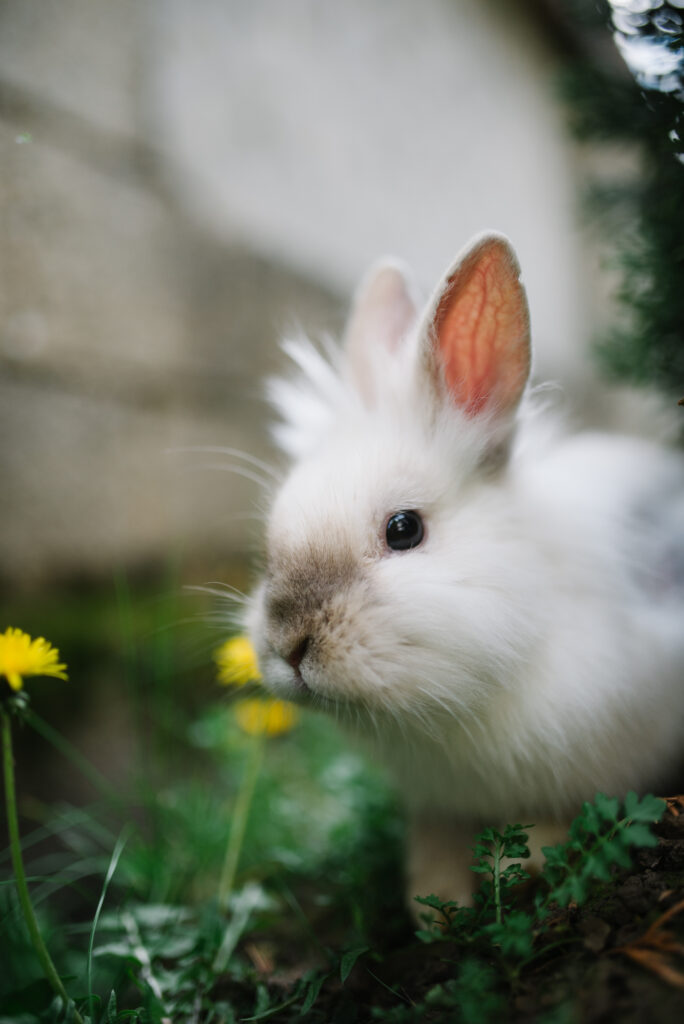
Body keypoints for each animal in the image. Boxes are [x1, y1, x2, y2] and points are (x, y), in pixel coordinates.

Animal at [245, 232, 684, 912]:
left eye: (403, 529)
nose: (290, 645)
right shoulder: (437, 807)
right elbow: (437, 850)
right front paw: (433, 908)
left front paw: (523, 872)